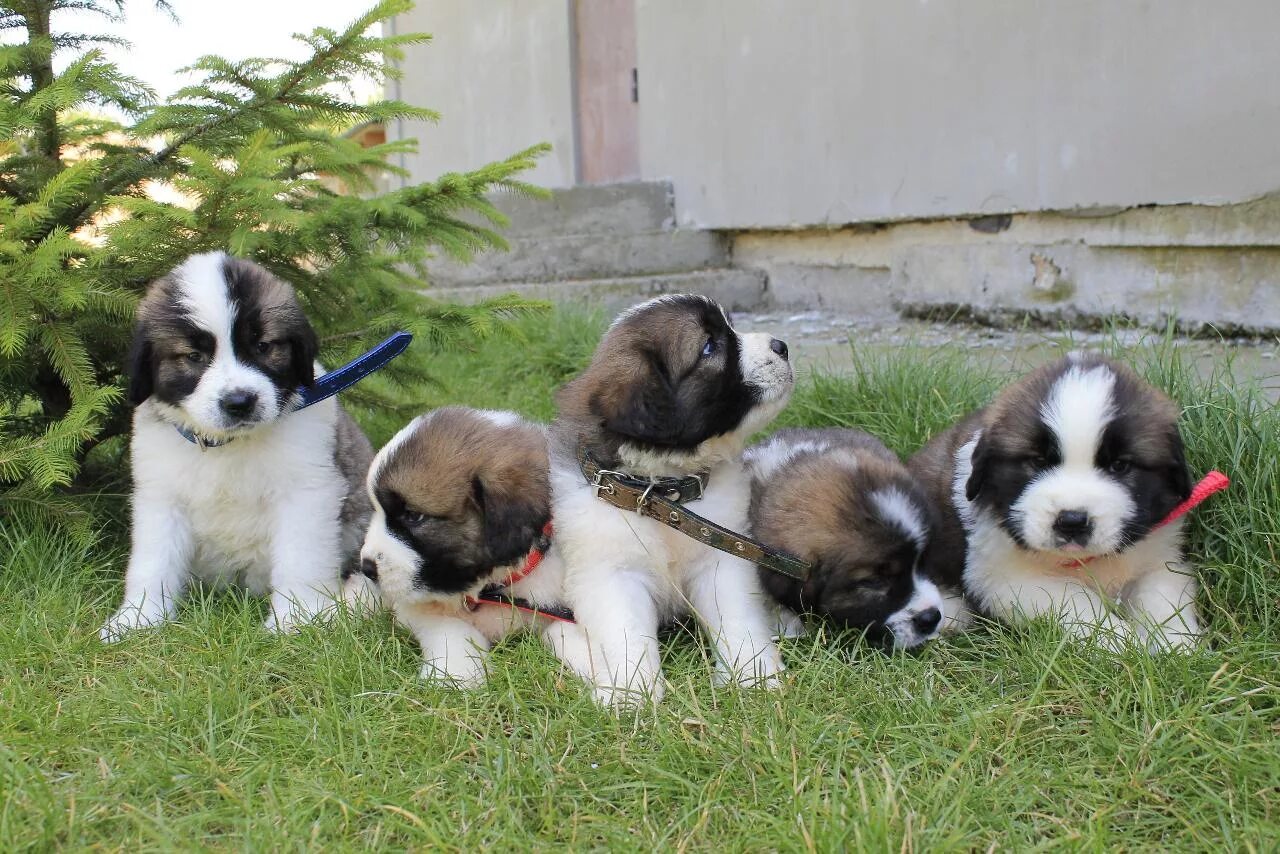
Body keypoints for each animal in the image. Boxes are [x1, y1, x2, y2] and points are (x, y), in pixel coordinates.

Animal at [100, 250, 373, 637]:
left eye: (263, 346)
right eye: (194, 356)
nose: (240, 402)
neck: (228, 445)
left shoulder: (307, 491)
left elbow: (300, 559)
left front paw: (296, 619)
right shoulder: (161, 496)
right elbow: (153, 561)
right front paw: (138, 619)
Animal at [555, 294, 793, 706]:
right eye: (710, 347)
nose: (782, 346)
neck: (663, 496)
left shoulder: (722, 557)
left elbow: (738, 617)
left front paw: (756, 675)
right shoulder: (610, 572)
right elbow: (626, 634)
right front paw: (631, 694)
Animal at [911, 353, 1198, 655]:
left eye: (1120, 465)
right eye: (1038, 462)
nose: (1072, 521)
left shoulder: (1160, 555)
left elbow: (1163, 597)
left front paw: (1176, 646)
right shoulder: (1007, 577)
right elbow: (1078, 601)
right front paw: (1121, 643)